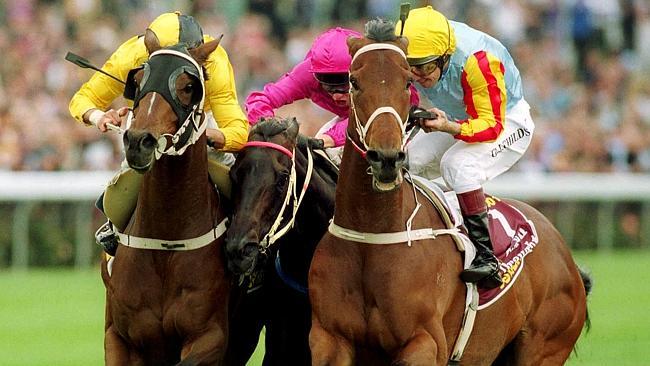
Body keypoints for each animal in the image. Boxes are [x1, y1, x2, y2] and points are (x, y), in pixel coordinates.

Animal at [306, 20, 588, 366]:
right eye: (354, 81)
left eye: (407, 82)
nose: (386, 158)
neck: (372, 237)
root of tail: (567, 257)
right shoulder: (328, 339)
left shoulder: (424, 343)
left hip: (544, 348)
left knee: (460, 165)